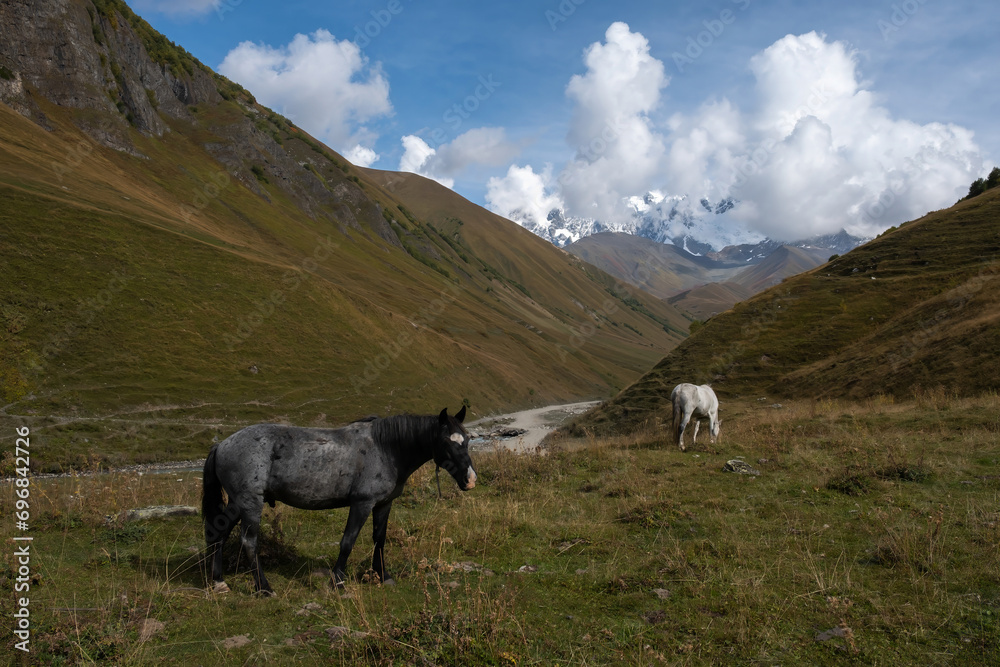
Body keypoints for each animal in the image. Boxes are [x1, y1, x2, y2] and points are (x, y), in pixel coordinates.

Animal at [203, 408, 476, 596]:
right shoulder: (362, 504)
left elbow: (379, 539)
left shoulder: (383, 504)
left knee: (219, 535)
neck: (386, 448)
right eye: (447, 441)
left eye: (467, 439)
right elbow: (348, 542)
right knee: (249, 541)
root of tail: (222, 444)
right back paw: (264, 588)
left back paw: (219, 582)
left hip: (237, 504)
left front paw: (382, 575)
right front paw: (338, 581)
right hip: (250, 503)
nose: (470, 479)